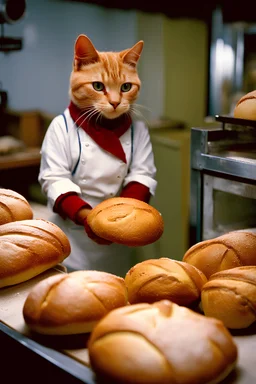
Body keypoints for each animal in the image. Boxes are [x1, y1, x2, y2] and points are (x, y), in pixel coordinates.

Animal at [38, 33, 157, 276]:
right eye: (98, 86)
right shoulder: (55, 137)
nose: (115, 102)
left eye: (126, 87)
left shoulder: (142, 153)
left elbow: (141, 175)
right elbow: (57, 180)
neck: (104, 127)